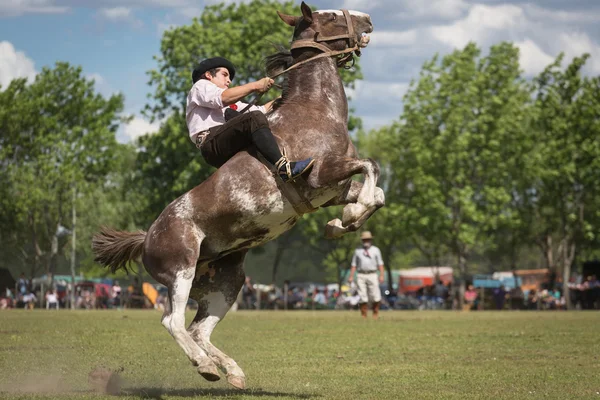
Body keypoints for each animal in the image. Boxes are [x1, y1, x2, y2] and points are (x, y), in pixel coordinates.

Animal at [94, 2, 384, 390]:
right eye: (331, 15)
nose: (368, 19)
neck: (315, 111)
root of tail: (147, 237)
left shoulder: (332, 189)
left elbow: (376, 192)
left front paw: (341, 222)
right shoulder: (320, 175)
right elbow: (370, 165)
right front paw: (348, 219)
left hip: (226, 283)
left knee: (199, 329)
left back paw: (231, 371)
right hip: (180, 272)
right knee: (173, 322)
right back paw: (205, 366)